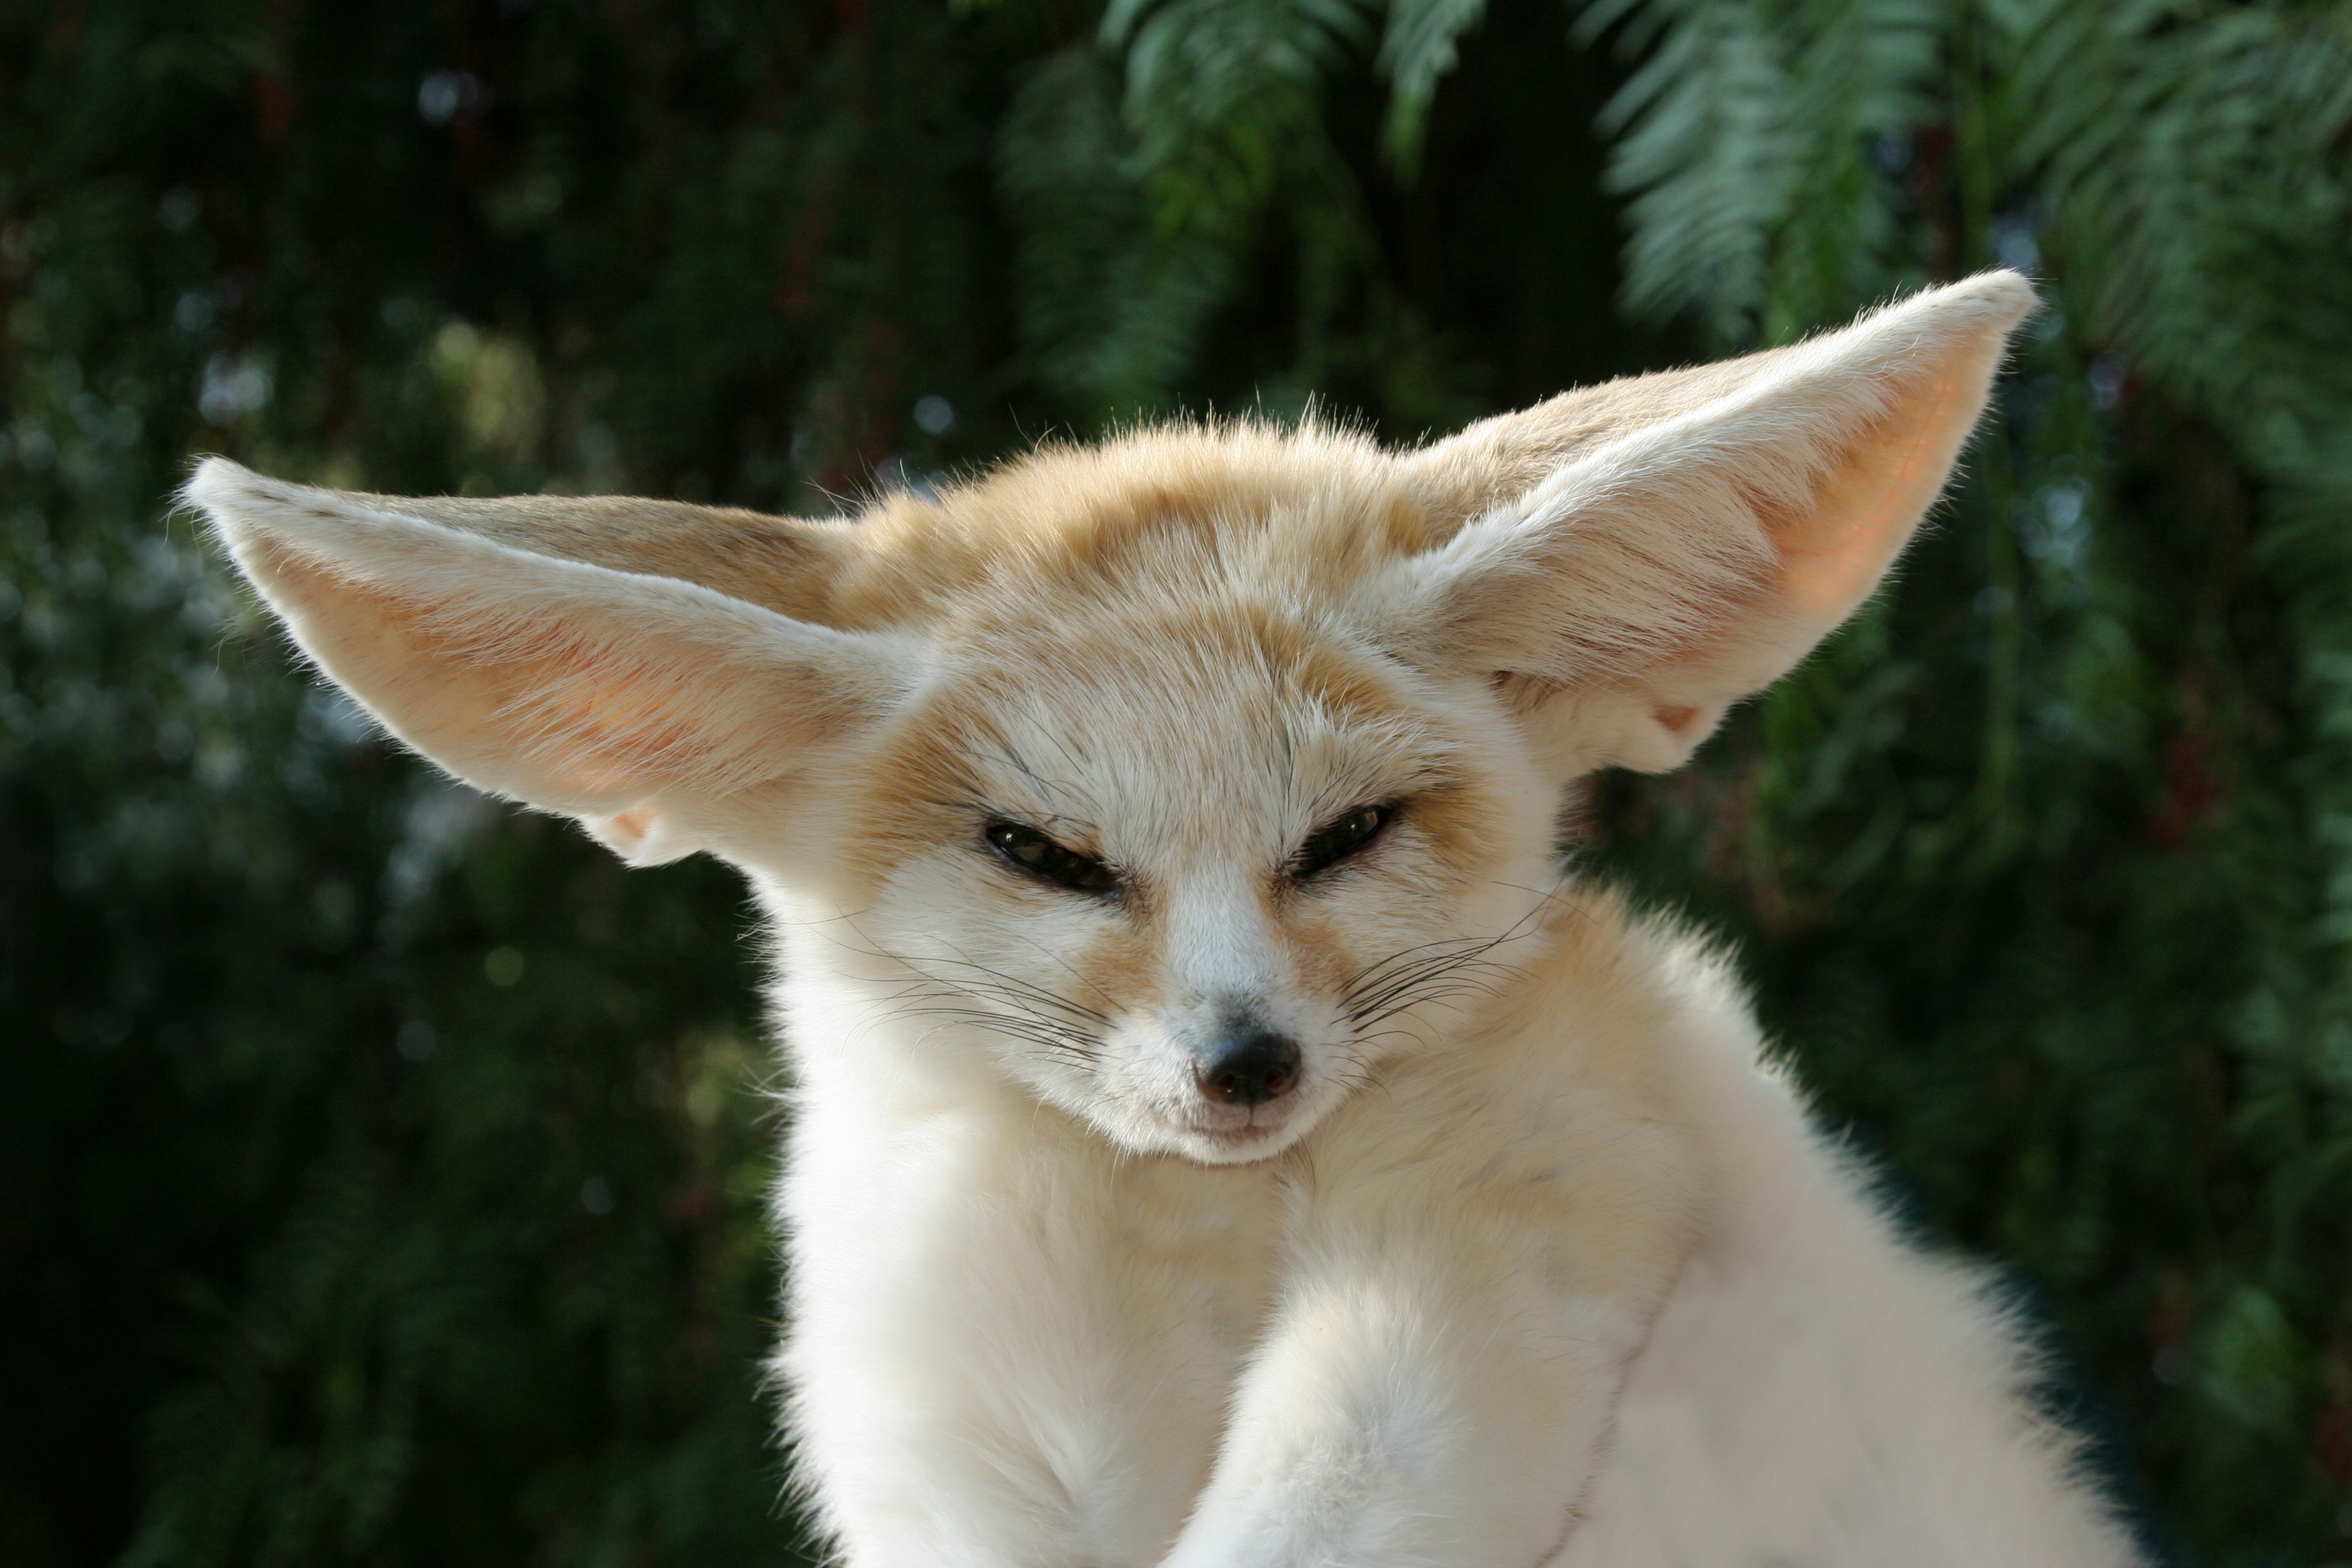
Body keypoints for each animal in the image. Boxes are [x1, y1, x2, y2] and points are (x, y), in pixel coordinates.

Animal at [188, 269, 2146, 1567]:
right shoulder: (969, 1449)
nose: (1244, 1065)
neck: (1156, 1259)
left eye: (1348, 836)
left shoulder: (1493, 1260)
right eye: (1043, 854)